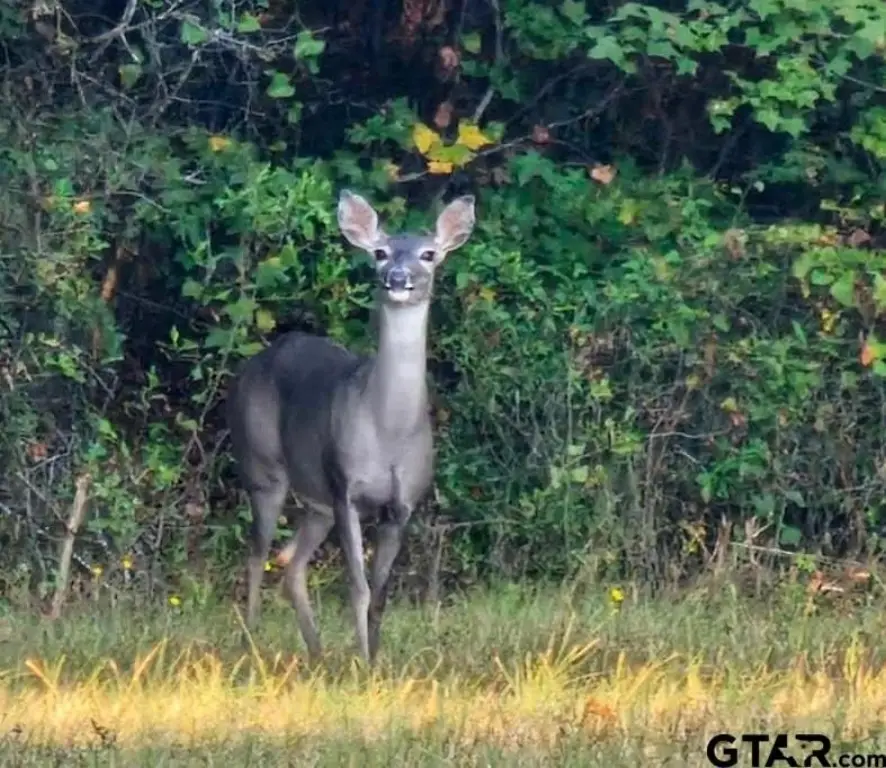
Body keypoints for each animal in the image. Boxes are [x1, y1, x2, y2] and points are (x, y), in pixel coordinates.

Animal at [226, 189, 476, 664]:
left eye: (428, 254)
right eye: (379, 253)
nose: (397, 278)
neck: (389, 432)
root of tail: (254, 362)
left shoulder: (402, 504)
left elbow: (380, 595)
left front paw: (374, 662)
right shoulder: (346, 488)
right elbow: (357, 588)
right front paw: (360, 663)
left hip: (316, 502)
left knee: (290, 564)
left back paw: (317, 653)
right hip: (263, 467)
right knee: (255, 554)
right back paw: (251, 643)